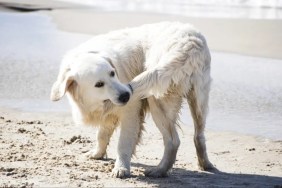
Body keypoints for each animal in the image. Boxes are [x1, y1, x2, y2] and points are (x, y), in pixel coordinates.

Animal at [50, 21, 214, 178]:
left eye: (112, 73)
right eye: (99, 84)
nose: (126, 95)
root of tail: (190, 44)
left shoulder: (130, 111)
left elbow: (123, 143)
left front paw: (121, 168)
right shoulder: (109, 114)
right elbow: (101, 134)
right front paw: (97, 153)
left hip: (157, 100)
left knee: (173, 141)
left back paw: (159, 170)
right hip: (199, 101)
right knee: (199, 135)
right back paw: (205, 164)